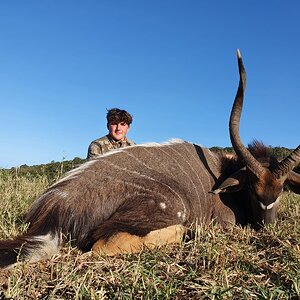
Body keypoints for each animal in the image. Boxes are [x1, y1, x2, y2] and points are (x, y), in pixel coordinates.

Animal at [0, 50, 300, 268]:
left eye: (282, 190)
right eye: (252, 189)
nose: (268, 226)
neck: (223, 171)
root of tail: (55, 207)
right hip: (169, 207)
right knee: (102, 244)